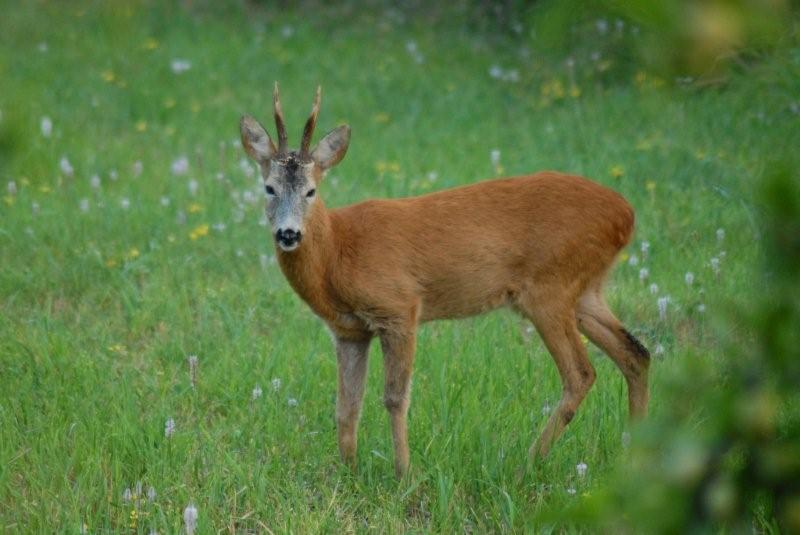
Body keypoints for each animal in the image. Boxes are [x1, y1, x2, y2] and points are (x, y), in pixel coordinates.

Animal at [239, 84, 648, 478]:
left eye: (311, 191)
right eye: (269, 188)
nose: (289, 234)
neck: (337, 253)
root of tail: (626, 214)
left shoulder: (400, 307)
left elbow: (395, 397)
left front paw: (403, 474)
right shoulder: (349, 330)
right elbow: (346, 405)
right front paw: (347, 471)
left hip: (550, 288)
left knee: (581, 373)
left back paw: (525, 465)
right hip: (585, 290)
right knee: (636, 353)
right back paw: (633, 456)